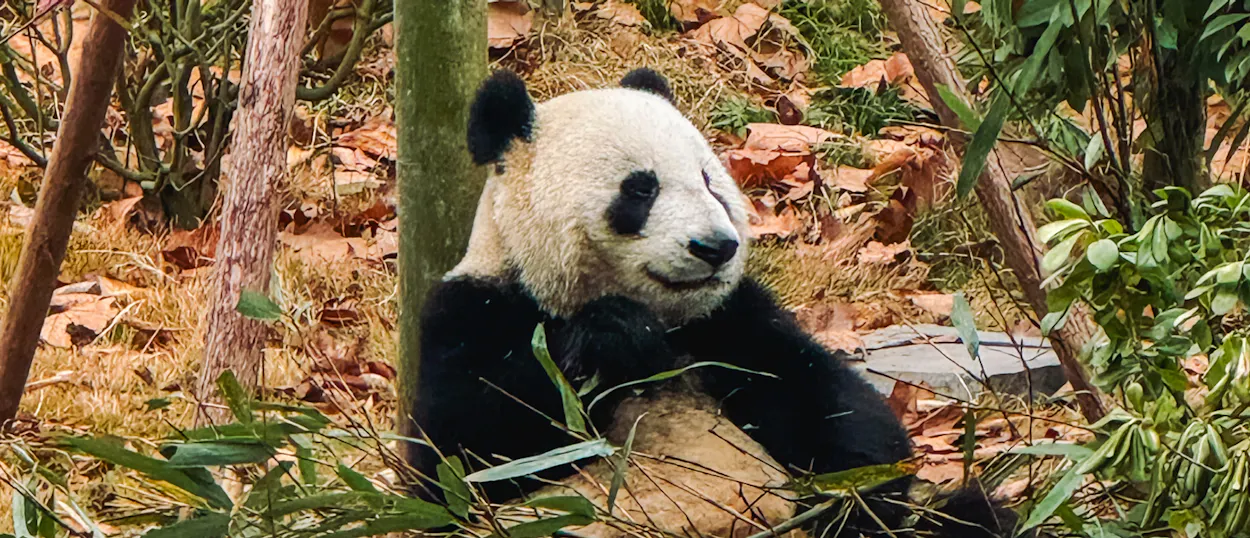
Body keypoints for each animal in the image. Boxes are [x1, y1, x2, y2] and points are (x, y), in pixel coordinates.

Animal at [407, 68, 1023, 538]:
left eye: (709, 181)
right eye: (641, 188)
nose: (715, 247)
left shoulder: (730, 322)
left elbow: (840, 414)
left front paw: (852, 503)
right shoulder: (474, 310)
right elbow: (462, 458)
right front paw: (611, 339)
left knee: (969, 518)